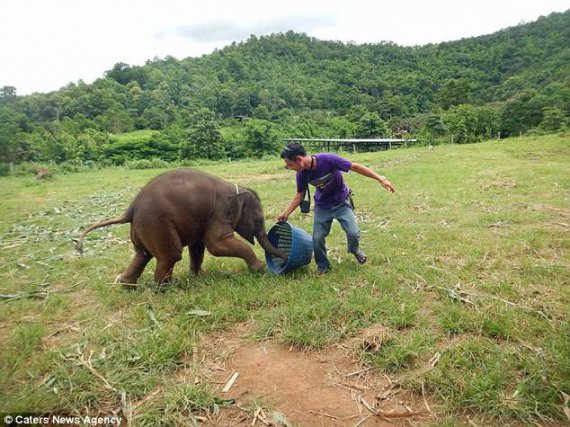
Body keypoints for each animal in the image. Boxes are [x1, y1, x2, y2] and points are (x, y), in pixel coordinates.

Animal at [75, 169, 286, 286]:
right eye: (258, 220)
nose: (284, 258)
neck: (237, 188)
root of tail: (131, 209)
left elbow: (198, 247)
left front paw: (197, 276)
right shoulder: (219, 212)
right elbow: (217, 246)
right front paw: (259, 268)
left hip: (142, 227)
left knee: (142, 255)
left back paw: (126, 285)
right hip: (156, 223)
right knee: (171, 255)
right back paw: (167, 288)